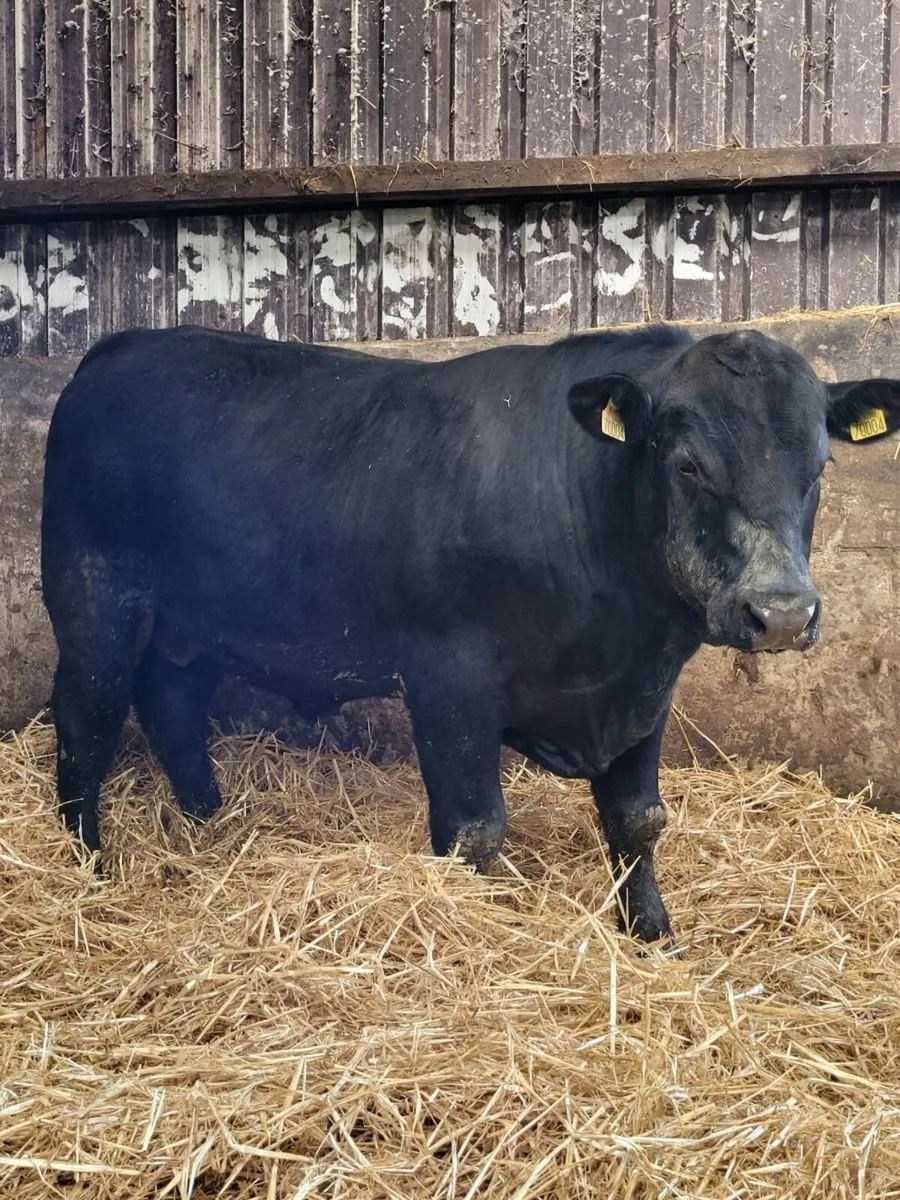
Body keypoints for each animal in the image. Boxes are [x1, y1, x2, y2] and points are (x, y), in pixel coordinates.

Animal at [40, 323, 899, 946]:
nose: (781, 612)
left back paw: (210, 826)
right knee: (87, 722)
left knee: (173, 710)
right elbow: (474, 831)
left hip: (192, 626)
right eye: (687, 465)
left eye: (820, 467)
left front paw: (653, 935)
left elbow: (637, 819)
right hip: (94, 602)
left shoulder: (645, 691)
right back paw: (88, 866)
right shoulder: (450, 678)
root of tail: (121, 347)